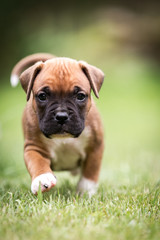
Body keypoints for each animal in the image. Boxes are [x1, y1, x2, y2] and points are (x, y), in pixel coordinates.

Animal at [10, 54, 104, 197]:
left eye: (80, 96)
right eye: (42, 96)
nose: (61, 116)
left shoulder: (95, 146)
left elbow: (91, 170)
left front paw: (86, 190)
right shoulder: (33, 147)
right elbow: (36, 162)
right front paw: (42, 179)